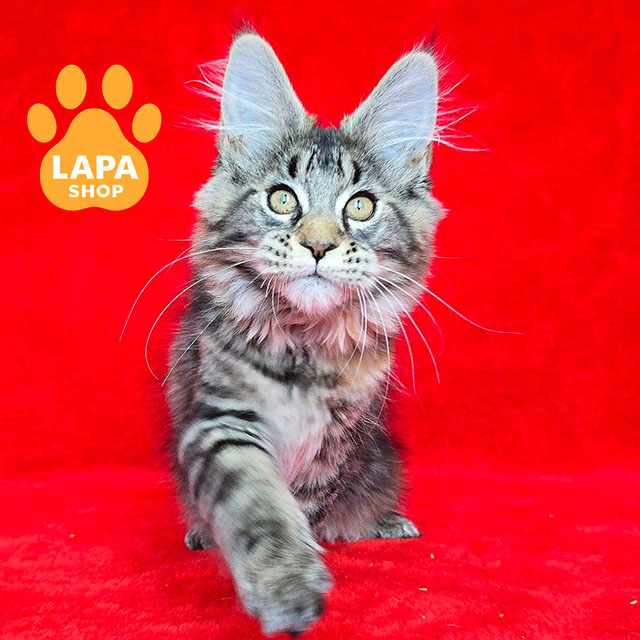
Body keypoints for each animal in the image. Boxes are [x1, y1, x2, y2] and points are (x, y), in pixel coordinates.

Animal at [168, 31, 443, 636]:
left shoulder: (339, 435)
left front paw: (310, 555)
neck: (304, 347)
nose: (318, 246)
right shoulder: (222, 417)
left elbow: (306, 506)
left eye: (360, 205)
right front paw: (284, 584)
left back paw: (386, 522)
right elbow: (259, 505)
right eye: (282, 199)